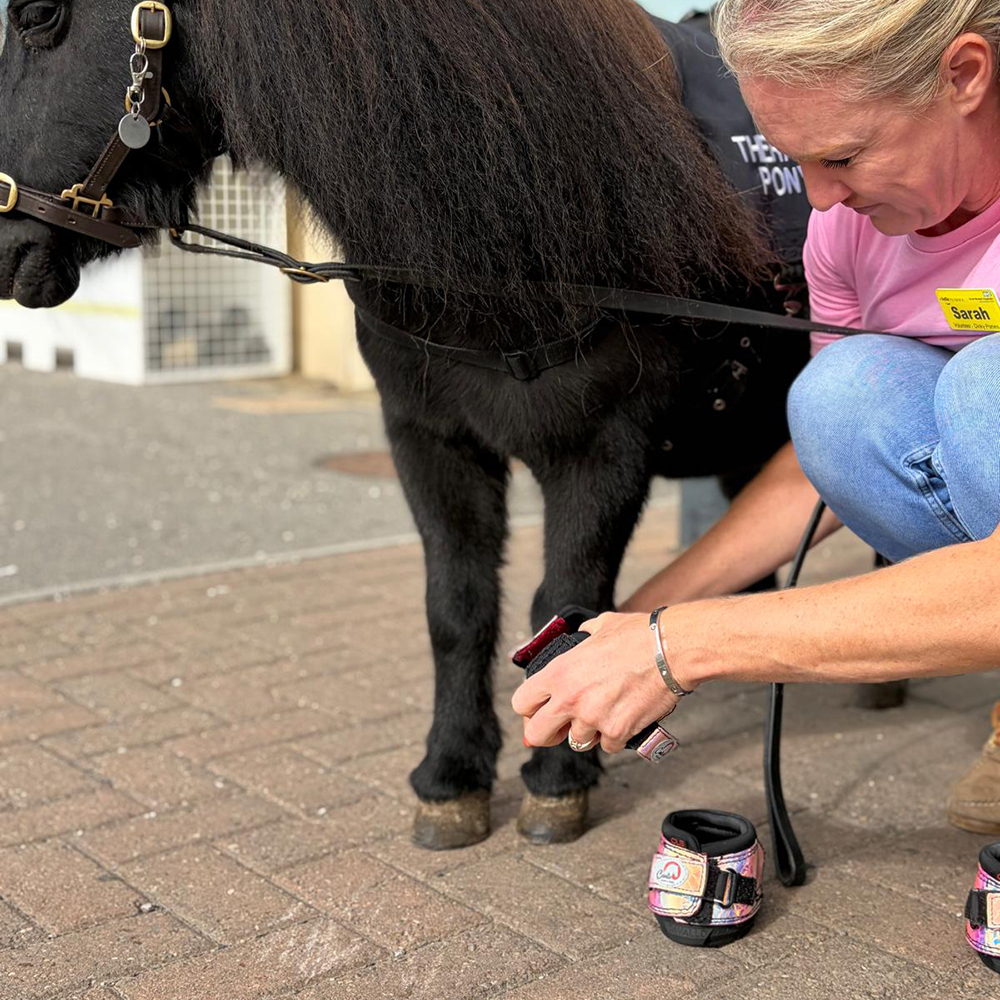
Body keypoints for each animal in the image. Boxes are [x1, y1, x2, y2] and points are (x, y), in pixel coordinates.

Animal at [0, 0, 814, 850]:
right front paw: (451, 775)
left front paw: (558, 776)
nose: (5, 246)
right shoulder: (430, 442)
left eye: (38, 18)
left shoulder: (602, 453)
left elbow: (563, 599)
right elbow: (456, 608)